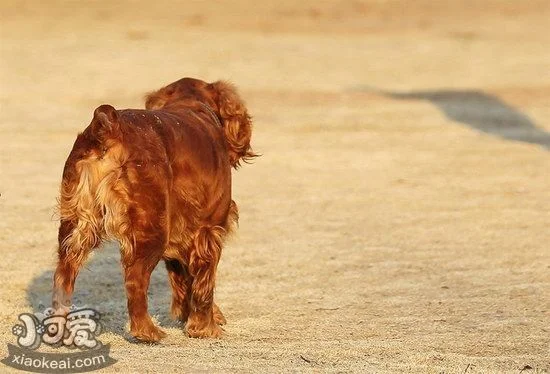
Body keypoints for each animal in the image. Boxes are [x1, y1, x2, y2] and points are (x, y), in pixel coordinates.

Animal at [52, 78, 258, 342]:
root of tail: (108, 125)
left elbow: (184, 278)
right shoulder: (208, 230)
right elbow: (204, 283)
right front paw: (206, 328)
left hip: (76, 225)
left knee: (63, 277)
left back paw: (57, 329)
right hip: (151, 229)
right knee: (135, 280)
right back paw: (147, 331)